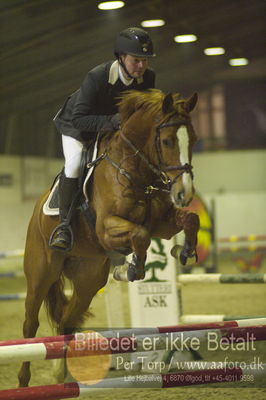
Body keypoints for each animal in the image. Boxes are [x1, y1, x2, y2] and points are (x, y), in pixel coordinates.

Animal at [17, 88, 200, 388]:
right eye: (167, 140)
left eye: (193, 139)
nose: (184, 193)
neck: (135, 170)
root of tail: (36, 211)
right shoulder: (107, 228)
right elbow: (140, 235)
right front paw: (131, 268)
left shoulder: (162, 224)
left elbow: (189, 220)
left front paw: (184, 252)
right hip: (41, 274)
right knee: (31, 325)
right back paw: (23, 380)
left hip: (88, 281)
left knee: (67, 322)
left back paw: (63, 376)